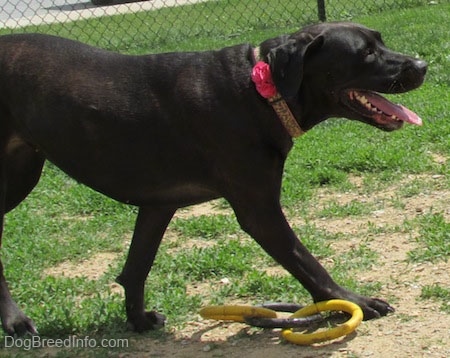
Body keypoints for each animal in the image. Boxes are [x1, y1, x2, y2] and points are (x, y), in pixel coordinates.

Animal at [0, 22, 426, 336]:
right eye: (366, 53)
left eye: (380, 42)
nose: (422, 65)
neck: (259, 90)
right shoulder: (259, 211)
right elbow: (307, 263)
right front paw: (354, 300)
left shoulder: (158, 205)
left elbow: (137, 266)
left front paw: (138, 320)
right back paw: (16, 322)